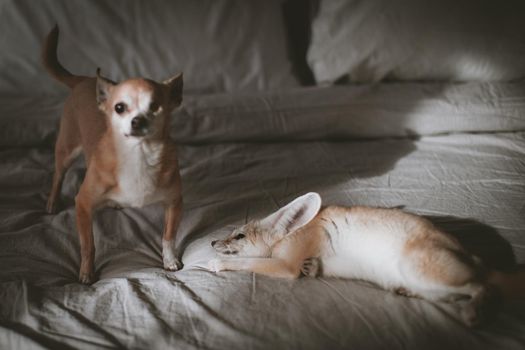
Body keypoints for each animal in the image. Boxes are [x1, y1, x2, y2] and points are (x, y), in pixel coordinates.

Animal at [44, 27, 185, 284]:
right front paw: (86, 273)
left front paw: (169, 260)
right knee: (58, 174)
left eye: (155, 106)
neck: (138, 155)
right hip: (67, 149)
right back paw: (52, 202)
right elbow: (88, 245)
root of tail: (84, 80)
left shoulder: (174, 203)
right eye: (119, 108)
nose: (137, 120)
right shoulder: (83, 204)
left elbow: (168, 236)